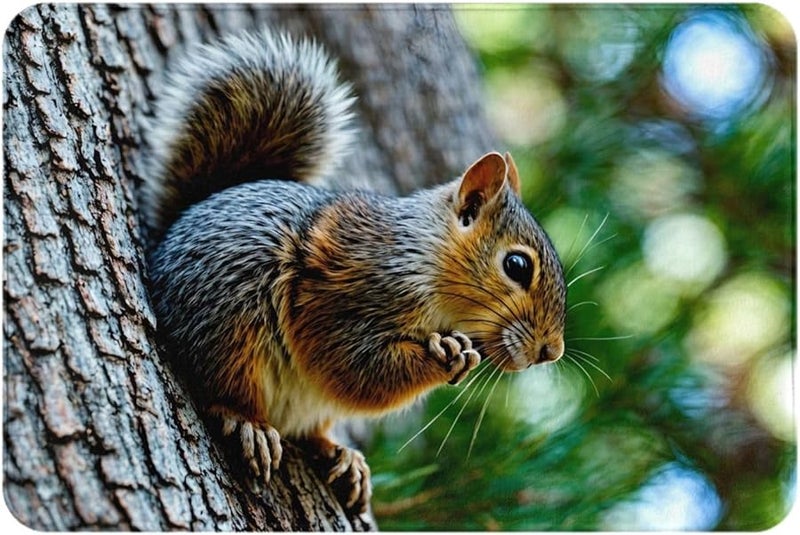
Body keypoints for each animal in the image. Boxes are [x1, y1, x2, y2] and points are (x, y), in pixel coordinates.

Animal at [144, 30, 567, 513]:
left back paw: (343, 457)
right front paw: (448, 354)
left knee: (310, 429)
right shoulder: (348, 294)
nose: (551, 351)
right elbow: (353, 364)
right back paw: (247, 422)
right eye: (517, 265)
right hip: (227, 313)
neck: (422, 257)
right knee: (222, 383)